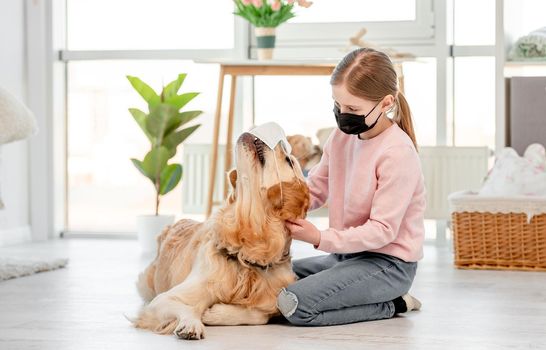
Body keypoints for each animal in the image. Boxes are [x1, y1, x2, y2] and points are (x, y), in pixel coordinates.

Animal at [131, 131, 308, 340]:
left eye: (289, 160)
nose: (282, 142)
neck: (245, 250)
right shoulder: (164, 298)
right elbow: (187, 307)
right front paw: (192, 324)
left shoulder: (273, 299)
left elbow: (259, 315)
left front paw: (213, 313)